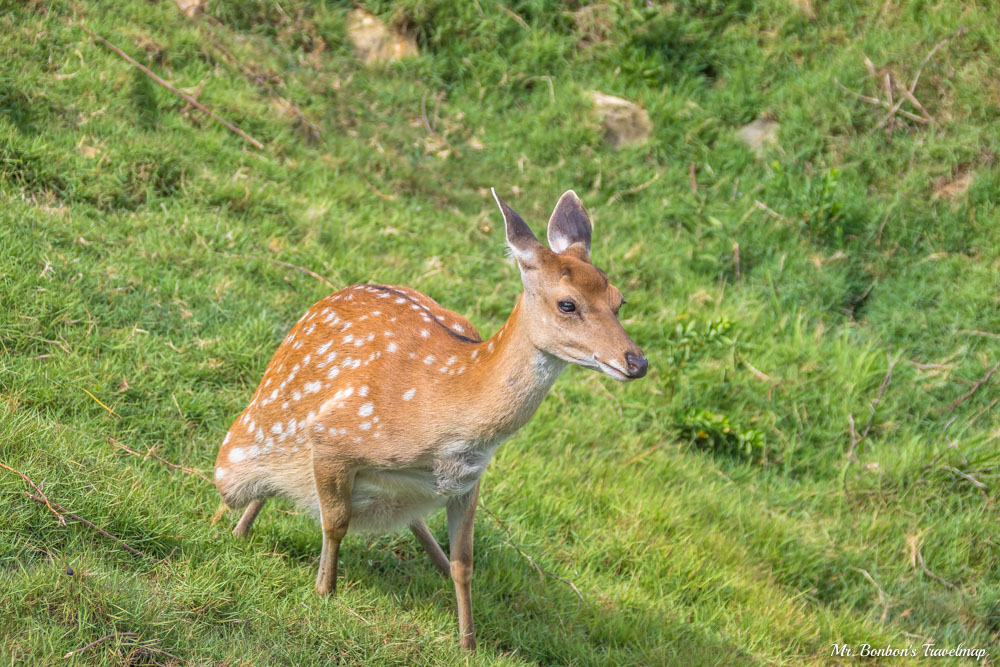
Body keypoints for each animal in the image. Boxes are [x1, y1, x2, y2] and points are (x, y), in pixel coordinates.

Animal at [213, 189, 648, 652]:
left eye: (619, 300)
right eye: (567, 304)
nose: (636, 362)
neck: (445, 425)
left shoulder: (469, 481)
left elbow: (464, 562)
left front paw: (468, 643)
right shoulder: (332, 439)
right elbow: (335, 524)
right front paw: (324, 593)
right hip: (244, 447)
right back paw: (231, 529)